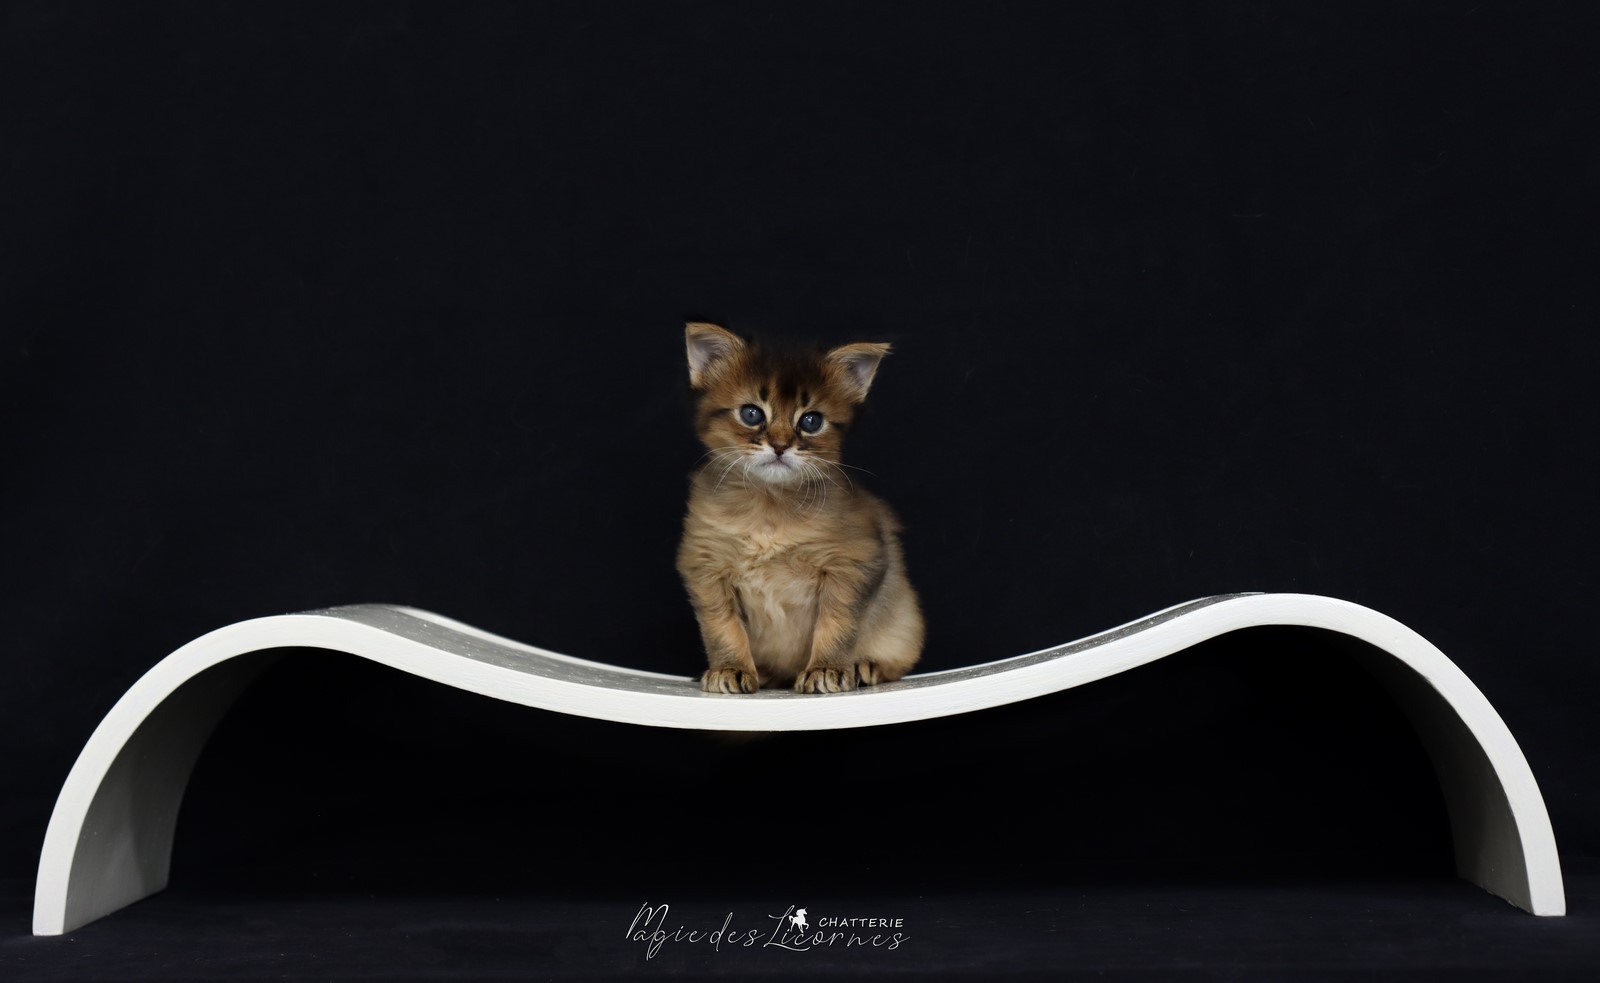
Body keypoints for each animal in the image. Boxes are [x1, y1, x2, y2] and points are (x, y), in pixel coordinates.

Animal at [677, 322, 924, 694]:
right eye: (751, 414)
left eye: (811, 421)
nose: (780, 446)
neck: (769, 508)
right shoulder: (707, 568)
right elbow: (722, 628)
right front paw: (730, 669)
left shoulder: (853, 564)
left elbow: (837, 625)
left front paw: (826, 668)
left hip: (903, 621)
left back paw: (866, 666)